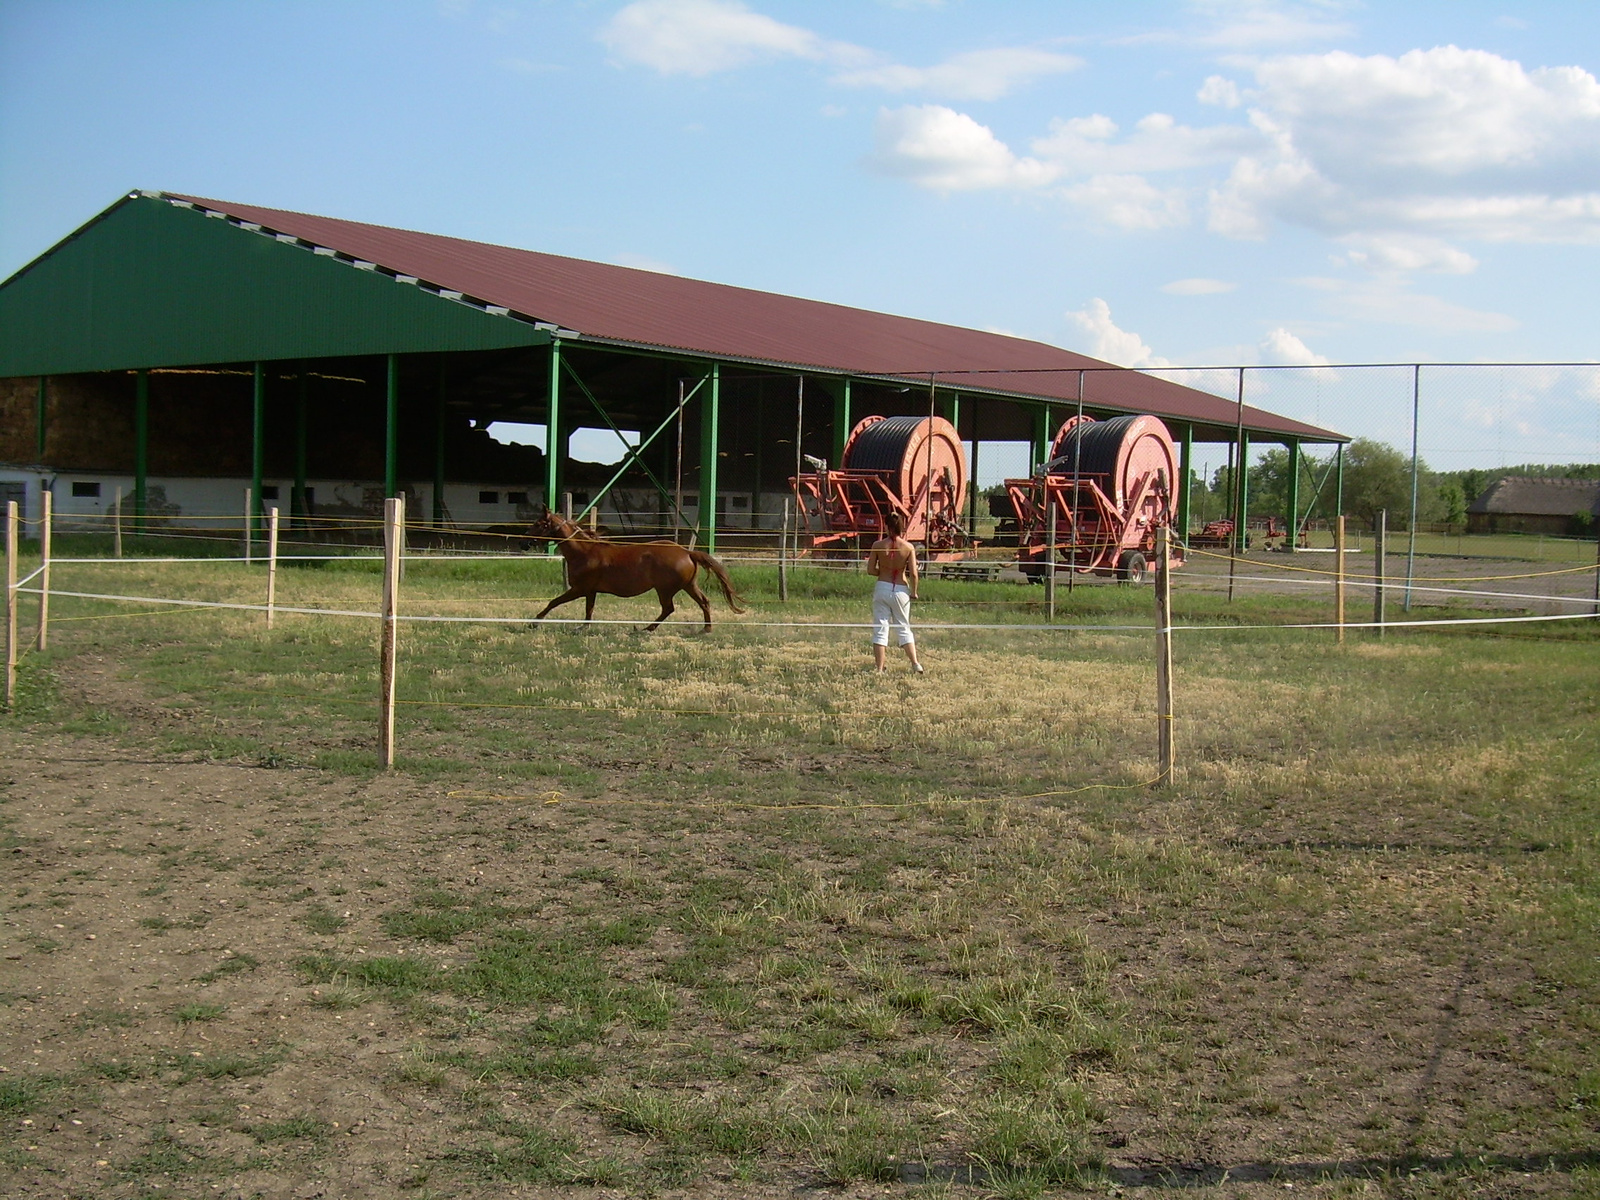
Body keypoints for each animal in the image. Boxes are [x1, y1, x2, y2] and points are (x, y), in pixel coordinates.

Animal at [528, 512, 745, 633]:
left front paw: (535, 622)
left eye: (538, 524)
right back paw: (706, 628)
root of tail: (687, 552)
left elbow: (554, 602)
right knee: (703, 602)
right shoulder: (590, 590)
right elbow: (589, 609)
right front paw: (583, 627)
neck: (584, 551)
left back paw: (646, 628)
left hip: (665, 590)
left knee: (668, 609)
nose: (525, 542)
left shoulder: (579, 589)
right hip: (689, 586)